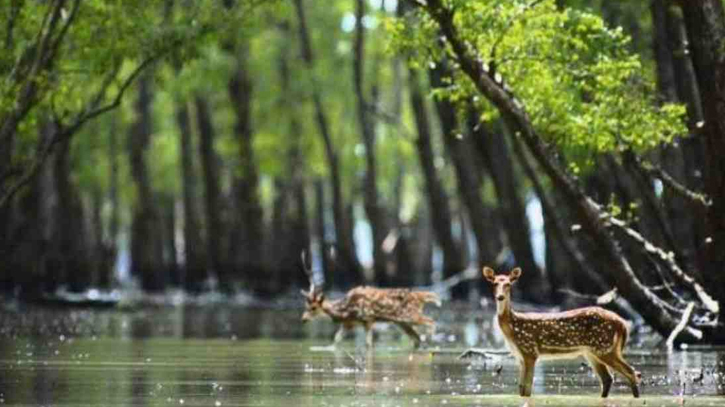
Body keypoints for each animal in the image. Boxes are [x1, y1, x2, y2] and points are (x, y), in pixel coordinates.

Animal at [300, 255, 442, 348]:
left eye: (313, 307)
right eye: (305, 305)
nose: (303, 319)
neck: (345, 310)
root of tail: (421, 296)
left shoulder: (367, 319)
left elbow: (368, 344)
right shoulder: (348, 324)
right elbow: (336, 341)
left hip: (410, 315)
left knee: (431, 321)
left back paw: (429, 339)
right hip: (402, 322)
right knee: (416, 338)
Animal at [484, 268, 636, 398]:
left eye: (508, 284)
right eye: (495, 283)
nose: (500, 297)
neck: (513, 328)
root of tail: (622, 323)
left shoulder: (530, 351)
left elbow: (527, 389)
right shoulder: (519, 356)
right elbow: (521, 389)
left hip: (604, 347)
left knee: (632, 372)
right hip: (593, 352)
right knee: (608, 379)